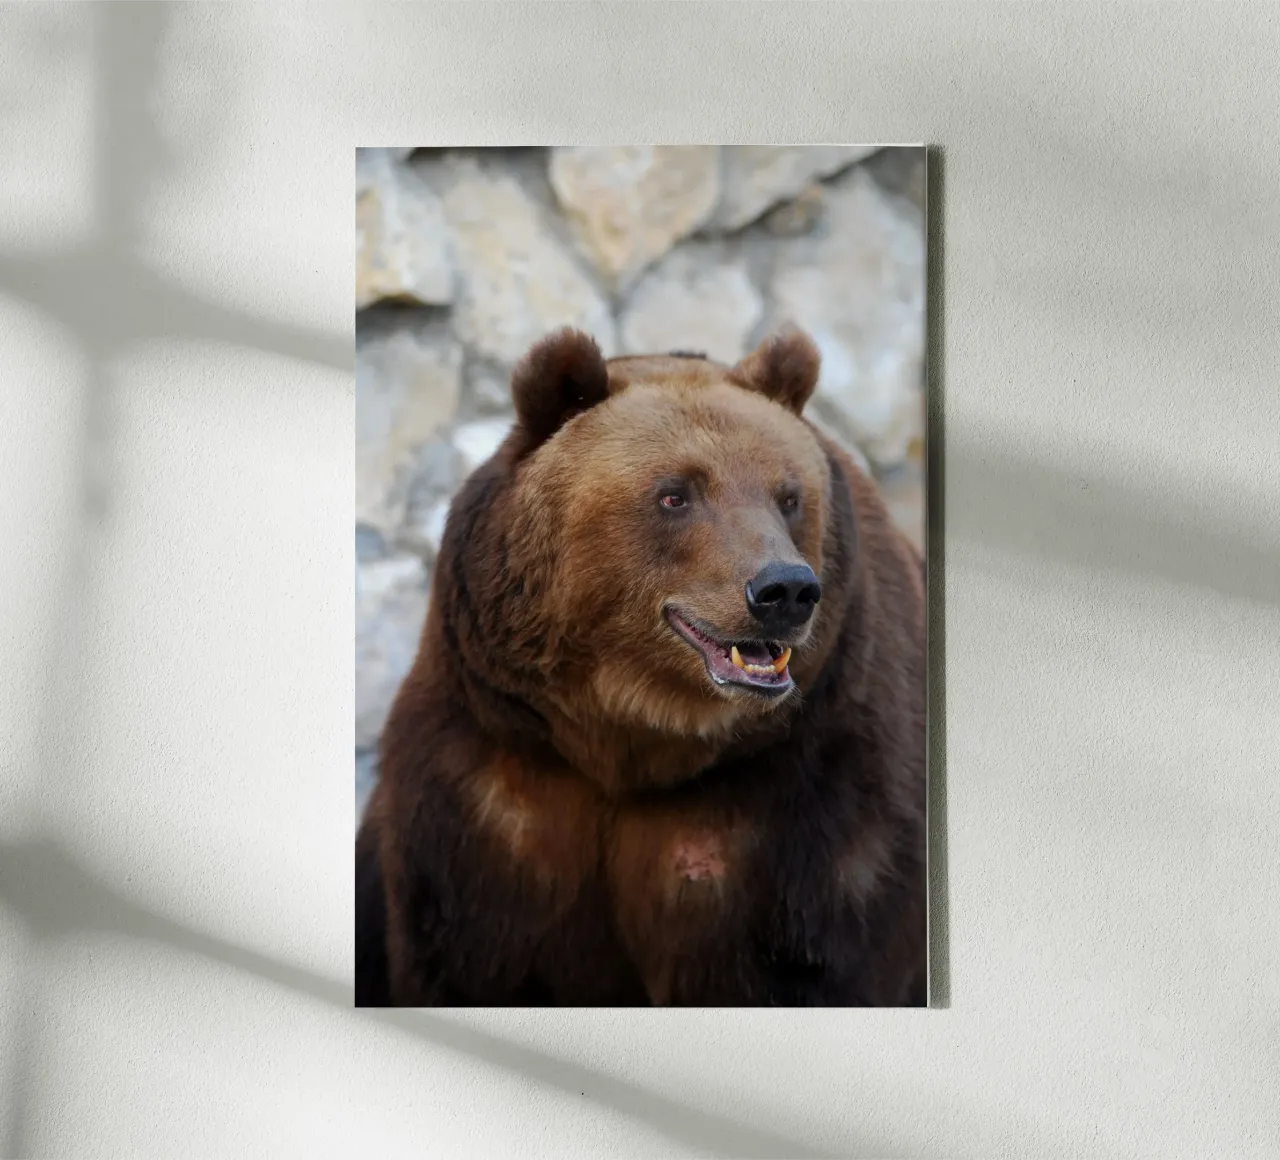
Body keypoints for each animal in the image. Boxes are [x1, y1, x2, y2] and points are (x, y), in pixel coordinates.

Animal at [355, 324, 927, 1007]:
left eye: (789, 496)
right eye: (675, 494)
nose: (784, 589)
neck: (632, 736)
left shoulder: (807, 800)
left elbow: (808, 961)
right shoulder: (494, 786)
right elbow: (469, 954)